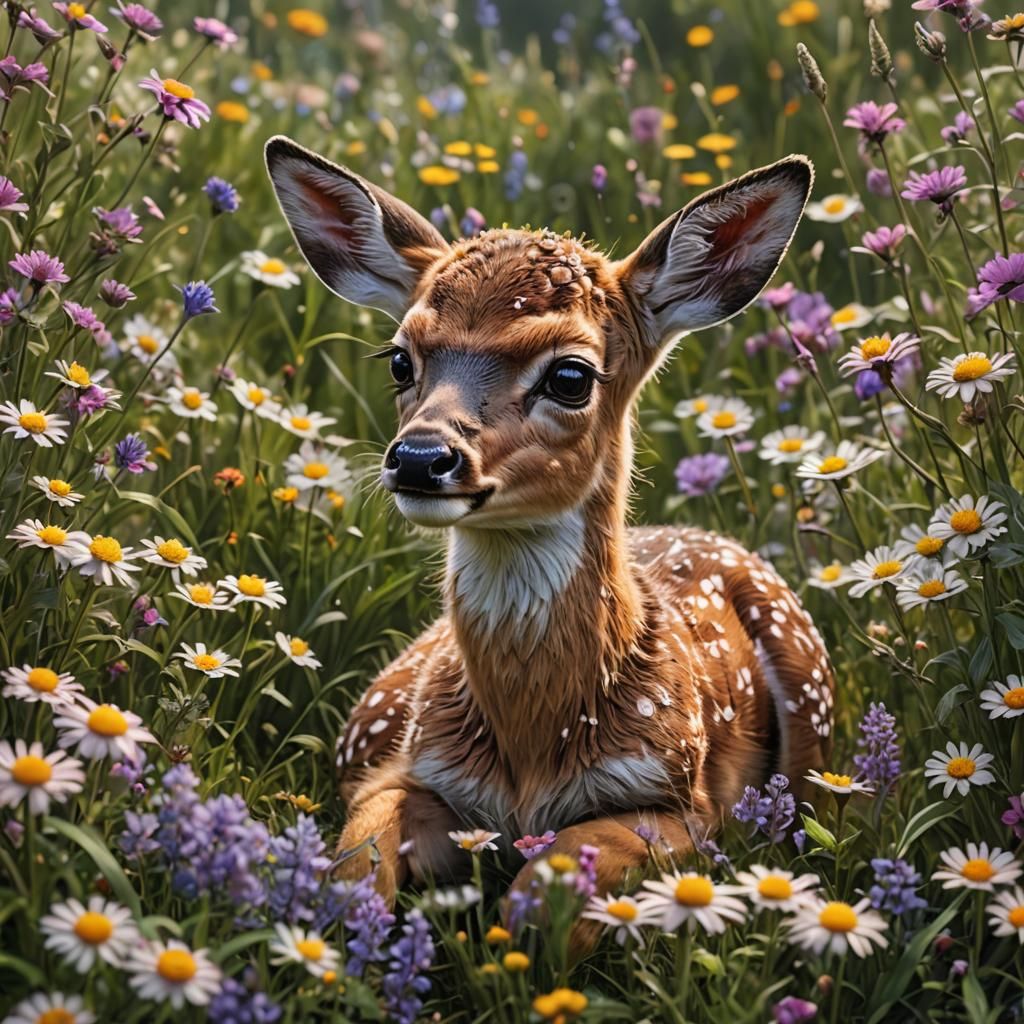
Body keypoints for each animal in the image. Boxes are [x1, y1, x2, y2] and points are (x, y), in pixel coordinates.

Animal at [265, 136, 834, 914]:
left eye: (571, 376)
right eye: (400, 360)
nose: (421, 457)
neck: (531, 749)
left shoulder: (689, 809)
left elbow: (547, 882)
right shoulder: (409, 773)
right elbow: (356, 866)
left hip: (811, 712)